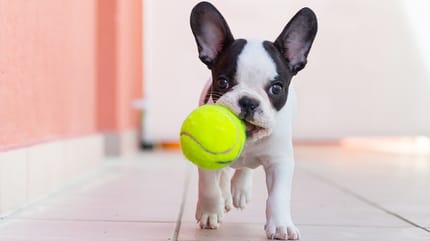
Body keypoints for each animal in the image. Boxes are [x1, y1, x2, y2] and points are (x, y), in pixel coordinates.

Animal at [190, 1, 318, 239]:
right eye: (222, 82)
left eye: (276, 88)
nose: (248, 101)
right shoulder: (206, 155)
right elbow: (209, 186)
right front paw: (210, 211)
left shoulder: (279, 162)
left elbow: (278, 196)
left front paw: (281, 225)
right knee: (223, 175)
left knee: (245, 169)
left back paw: (240, 189)